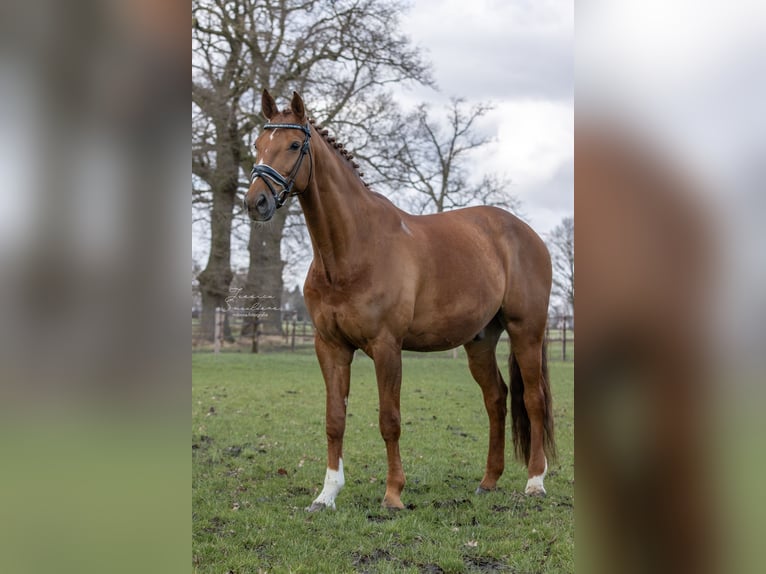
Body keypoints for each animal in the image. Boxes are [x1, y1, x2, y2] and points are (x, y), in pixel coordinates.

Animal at [248, 91, 560, 512]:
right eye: (257, 144)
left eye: (295, 145)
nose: (256, 202)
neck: (351, 251)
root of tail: (527, 234)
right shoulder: (330, 347)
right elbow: (334, 419)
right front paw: (326, 495)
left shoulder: (386, 347)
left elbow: (389, 419)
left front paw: (393, 494)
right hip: (480, 341)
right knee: (496, 399)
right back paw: (488, 481)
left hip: (526, 331)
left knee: (533, 399)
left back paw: (535, 482)